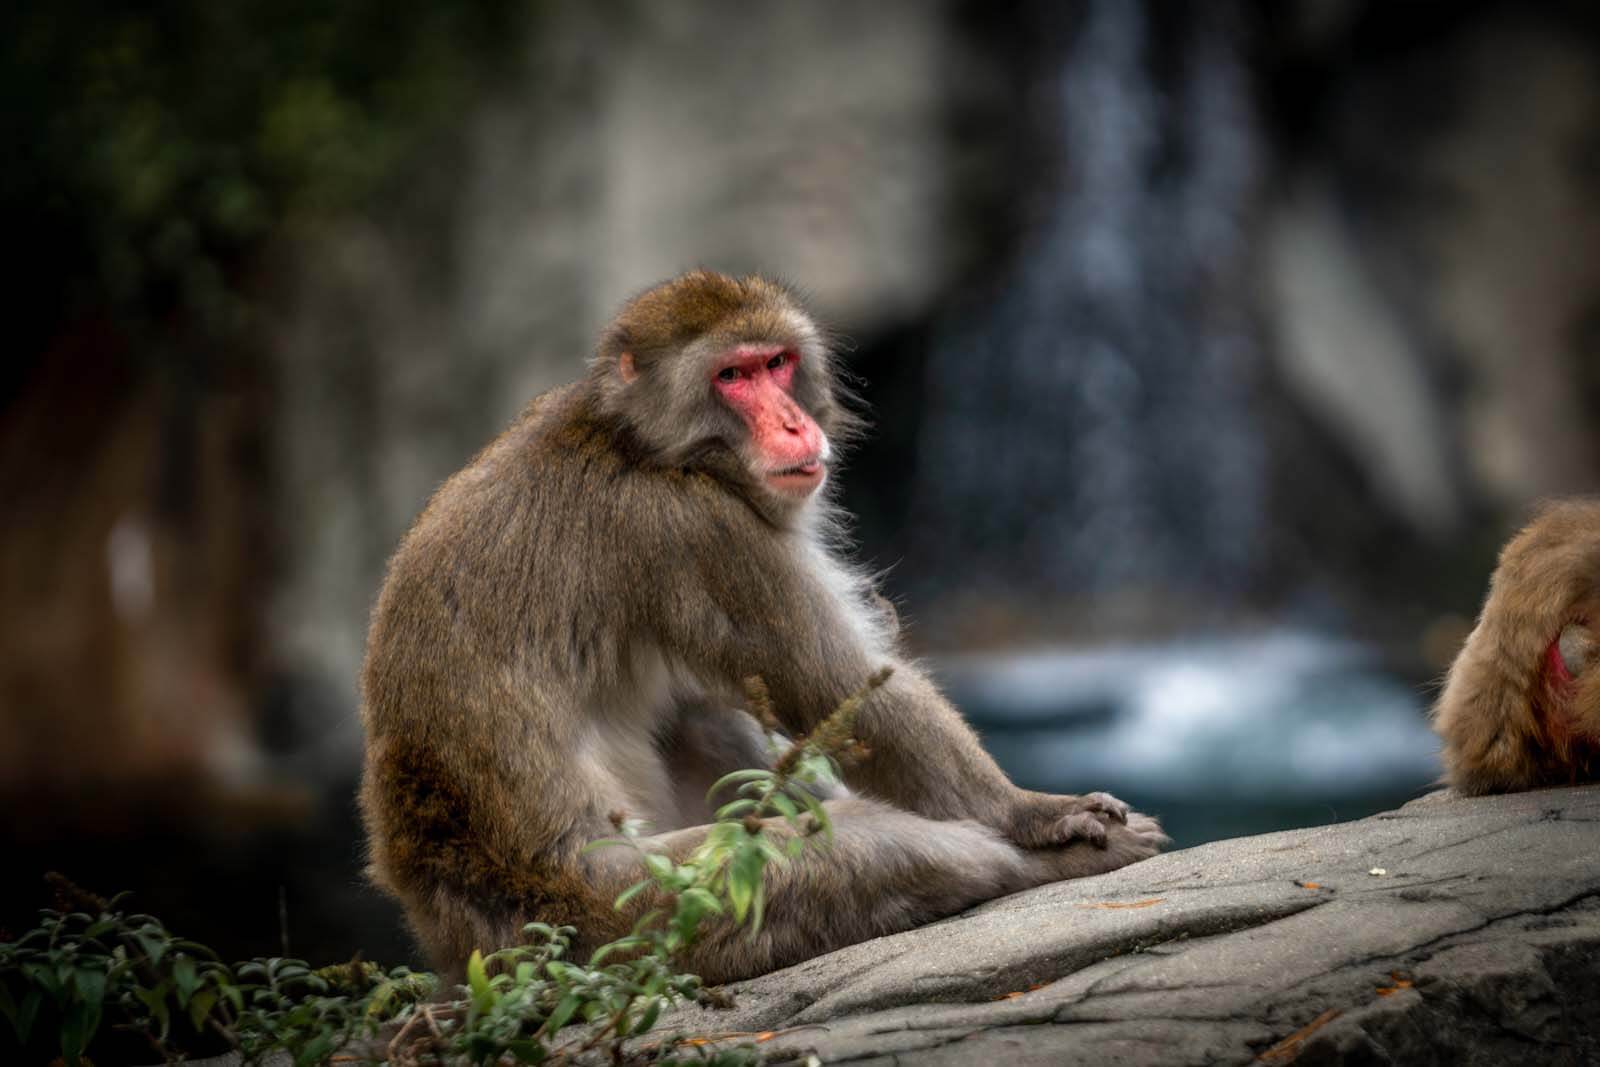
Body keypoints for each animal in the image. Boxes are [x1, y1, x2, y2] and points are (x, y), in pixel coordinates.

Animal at [356, 268, 1171, 985]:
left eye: (777, 365)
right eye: (732, 377)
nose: (792, 421)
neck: (642, 443)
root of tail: (451, 926)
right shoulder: (696, 529)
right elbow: (844, 689)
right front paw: (1033, 814)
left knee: (698, 715)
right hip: (634, 910)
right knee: (868, 851)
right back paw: (1028, 864)